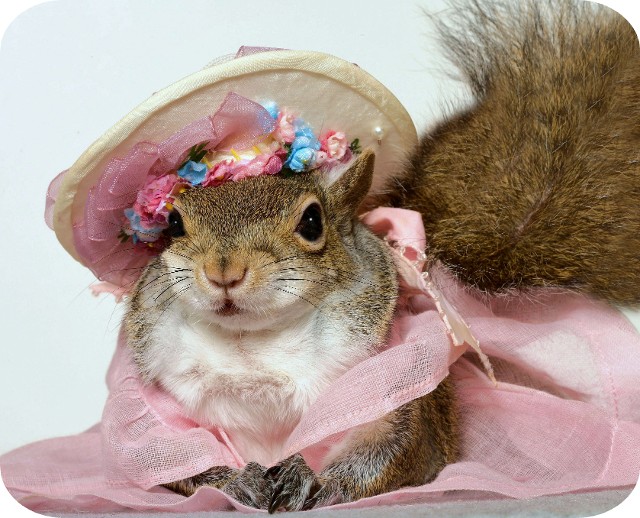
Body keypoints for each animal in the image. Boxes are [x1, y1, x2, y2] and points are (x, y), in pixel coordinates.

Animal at [124, 0, 636, 512]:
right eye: (173, 224)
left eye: (312, 222)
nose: (223, 271)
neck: (251, 345)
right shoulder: (159, 410)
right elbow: (168, 460)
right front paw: (232, 482)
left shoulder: (394, 386)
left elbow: (391, 451)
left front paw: (316, 479)